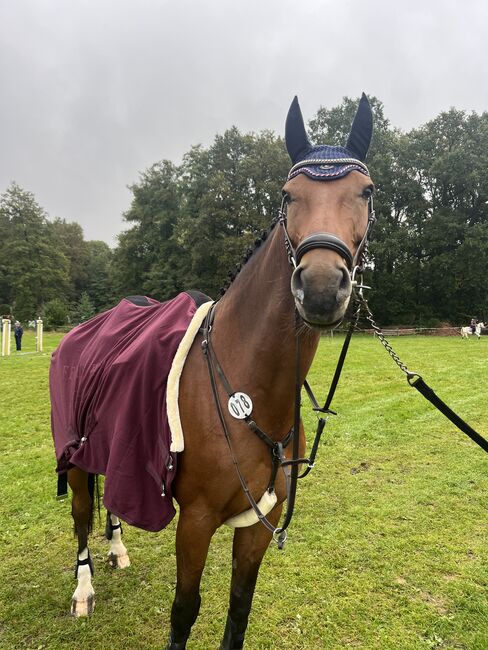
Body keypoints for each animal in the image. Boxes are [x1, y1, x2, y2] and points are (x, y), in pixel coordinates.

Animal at [50, 93, 374, 644]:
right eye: (288, 196)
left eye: (367, 192)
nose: (321, 287)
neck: (245, 388)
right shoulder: (196, 520)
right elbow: (185, 609)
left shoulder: (257, 523)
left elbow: (238, 609)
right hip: (74, 461)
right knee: (78, 520)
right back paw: (83, 589)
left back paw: (118, 549)